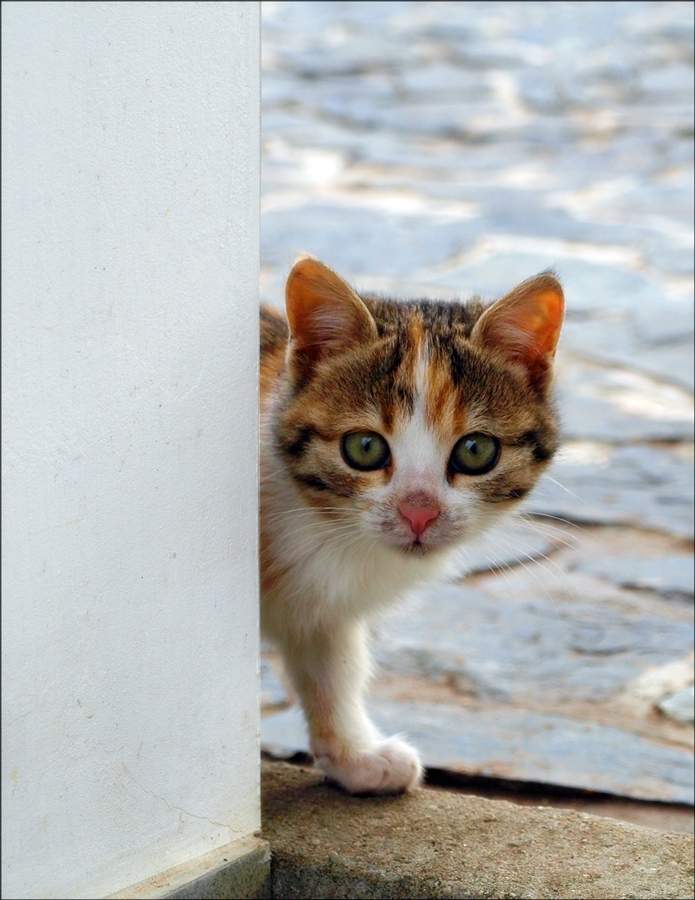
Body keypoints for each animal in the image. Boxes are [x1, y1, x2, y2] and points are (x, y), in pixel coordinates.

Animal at [259, 255, 564, 794]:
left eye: (476, 451)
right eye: (363, 447)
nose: (419, 511)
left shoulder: (317, 605)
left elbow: (332, 664)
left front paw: (354, 756)